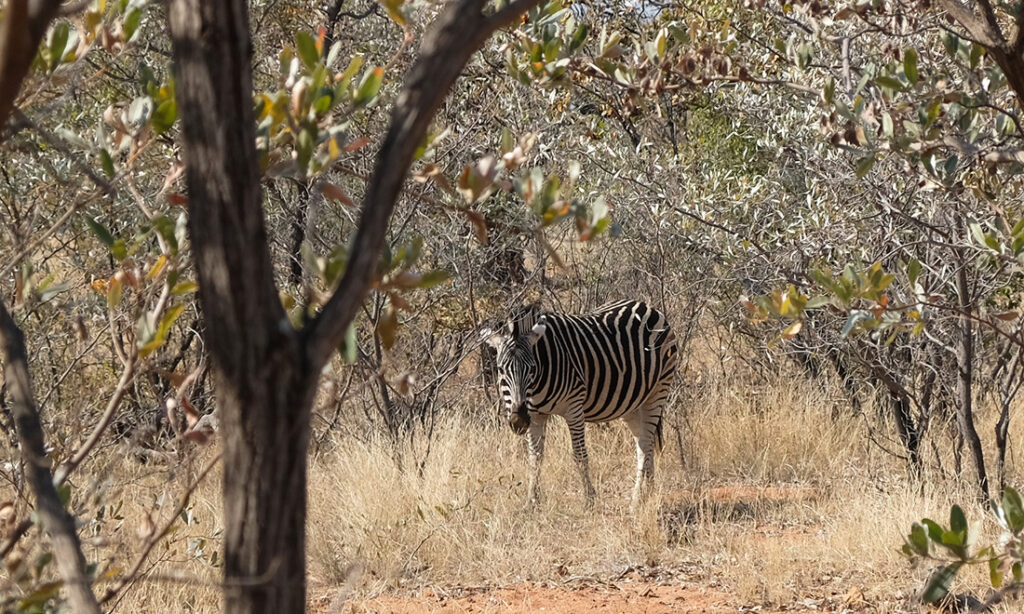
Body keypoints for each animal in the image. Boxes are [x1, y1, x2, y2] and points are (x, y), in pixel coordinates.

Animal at [481, 300, 679, 507]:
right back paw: (649, 492)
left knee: (645, 443)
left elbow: (579, 455)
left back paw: (636, 500)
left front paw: (589, 500)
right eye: (500, 369)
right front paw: (532, 501)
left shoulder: (574, 407)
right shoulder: (535, 415)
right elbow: (535, 457)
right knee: (643, 443)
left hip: (658, 390)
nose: (518, 420)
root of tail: (647, 306)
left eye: (532, 368)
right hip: (631, 403)